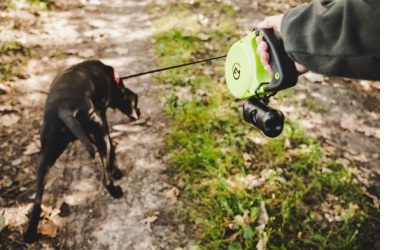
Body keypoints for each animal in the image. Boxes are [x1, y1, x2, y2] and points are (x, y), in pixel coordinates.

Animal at [24, 59, 141, 242]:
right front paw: (116, 170)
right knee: (105, 179)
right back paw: (116, 191)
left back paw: (30, 233)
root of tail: (64, 108)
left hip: (45, 159)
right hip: (99, 134)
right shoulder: (103, 116)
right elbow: (112, 149)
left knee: (37, 203)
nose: (139, 113)